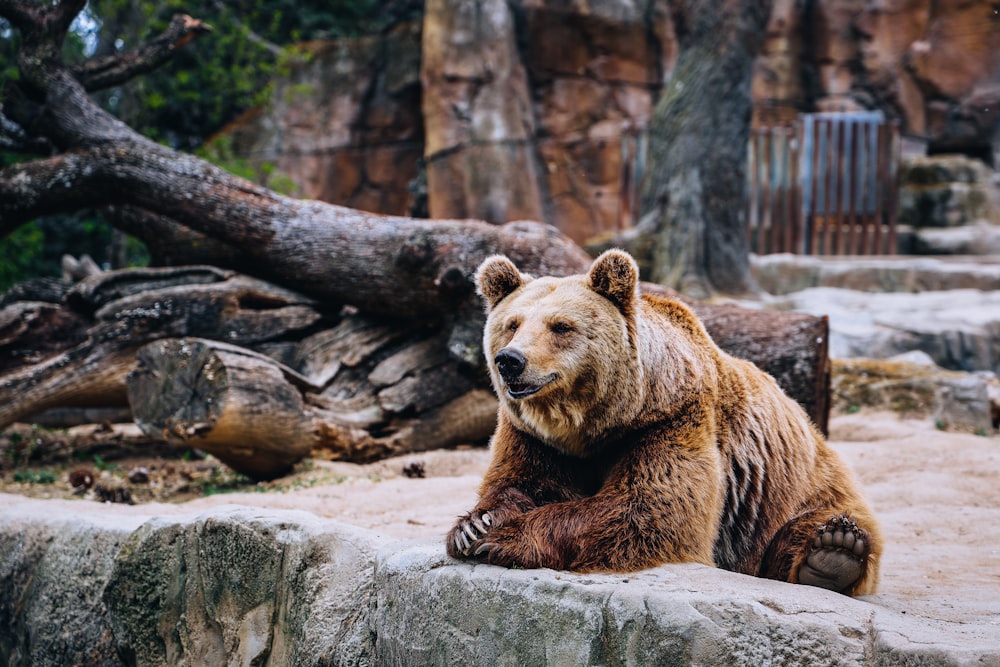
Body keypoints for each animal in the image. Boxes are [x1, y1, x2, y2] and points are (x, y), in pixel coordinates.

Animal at [448, 249, 884, 596]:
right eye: (513, 323)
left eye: (561, 326)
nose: (510, 360)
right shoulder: (531, 435)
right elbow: (520, 481)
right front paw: (474, 525)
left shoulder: (671, 420)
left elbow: (647, 508)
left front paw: (503, 538)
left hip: (793, 488)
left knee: (827, 521)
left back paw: (833, 553)